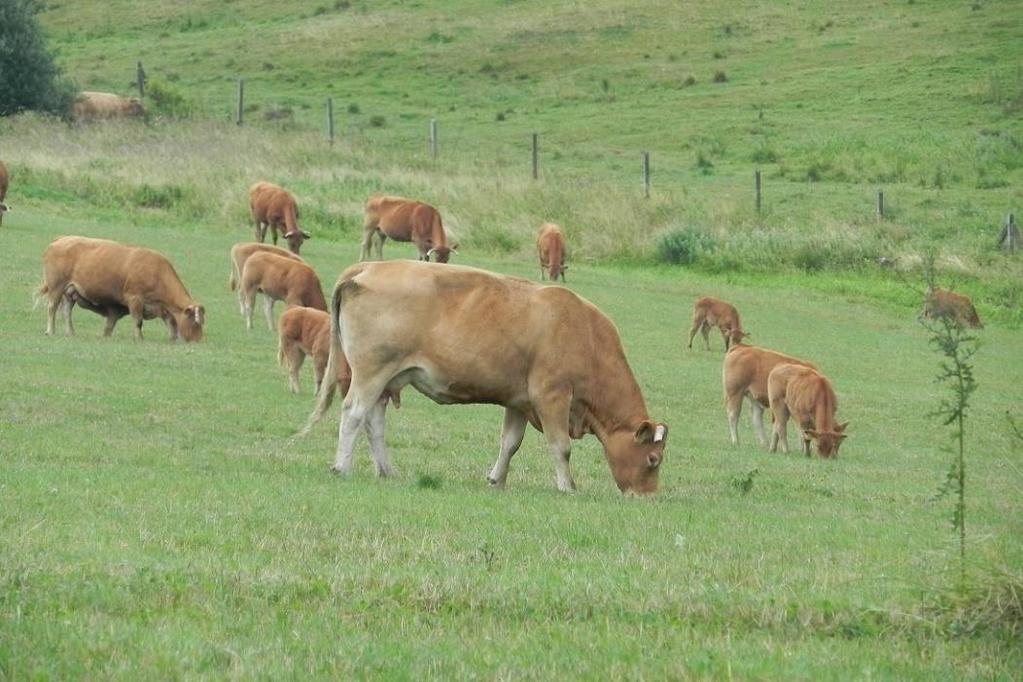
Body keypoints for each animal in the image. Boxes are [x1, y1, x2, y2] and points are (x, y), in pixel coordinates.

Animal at [39, 236, 203, 341]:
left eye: (202, 322)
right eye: (195, 322)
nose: (197, 341)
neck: (156, 271)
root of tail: (61, 239)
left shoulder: (163, 308)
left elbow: (171, 323)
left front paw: (173, 338)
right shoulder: (135, 299)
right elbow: (138, 321)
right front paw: (139, 338)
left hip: (69, 292)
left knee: (66, 312)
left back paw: (70, 333)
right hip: (56, 287)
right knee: (52, 308)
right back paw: (50, 331)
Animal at [300, 258, 671, 492]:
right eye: (653, 459)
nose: (647, 496)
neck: (586, 335)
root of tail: (369, 266)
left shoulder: (519, 401)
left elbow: (510, 443)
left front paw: (497, 479)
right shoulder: (551, 396)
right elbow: (561, 446)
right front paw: (567, 485)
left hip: (387, 379)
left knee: (373, 422)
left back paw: (386, 469)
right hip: (371, 372)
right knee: (354, 414)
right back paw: (342, 466)